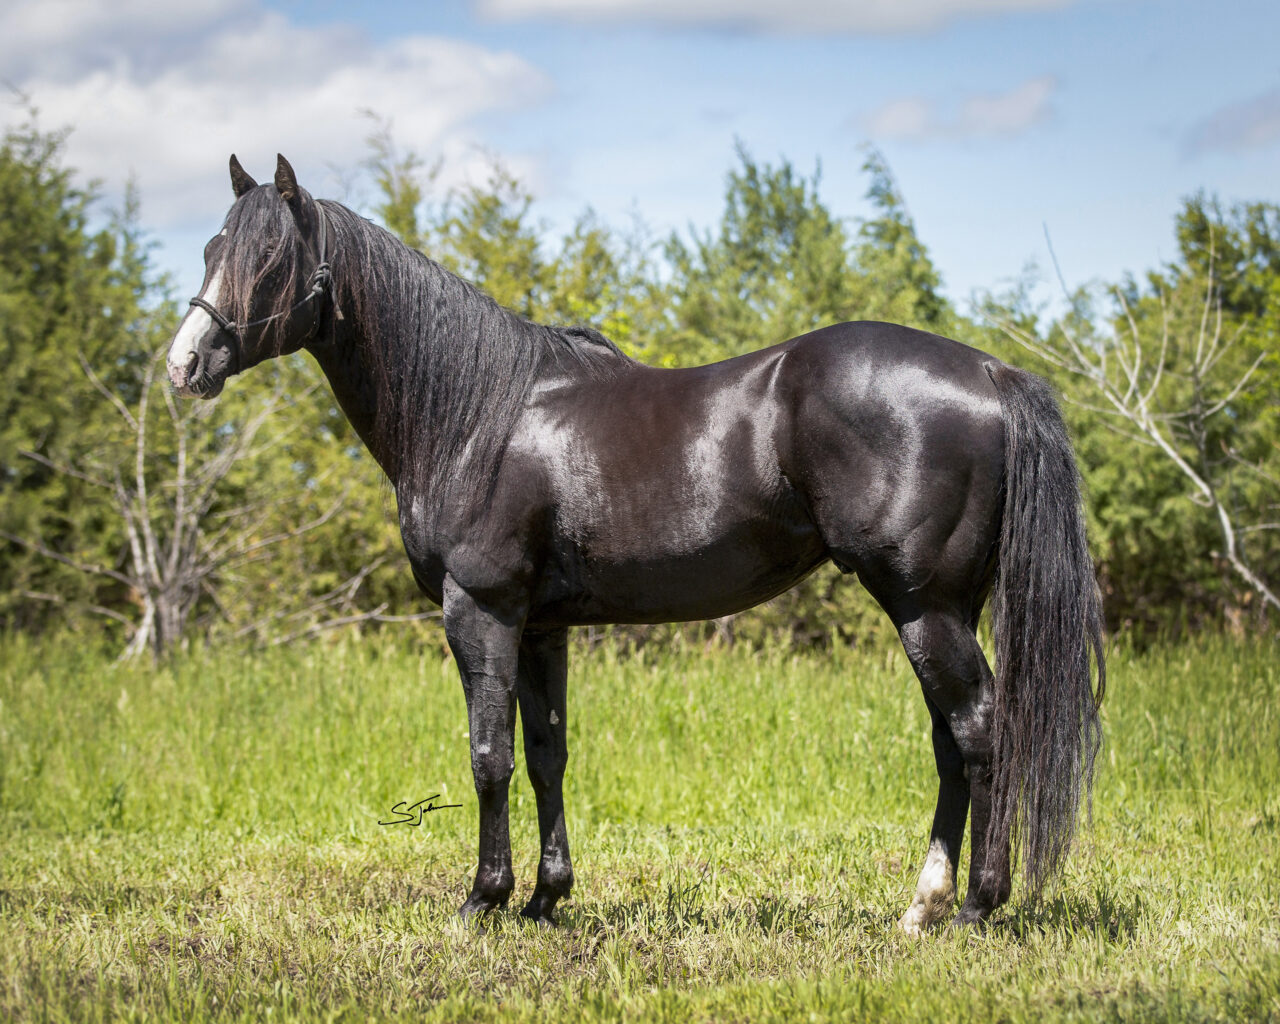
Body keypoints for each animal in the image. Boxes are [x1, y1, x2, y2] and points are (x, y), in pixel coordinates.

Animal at [166, 154, 1105, 934]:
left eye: (269, 259)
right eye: (211, 245)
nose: (184, 365)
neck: (476, 413)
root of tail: (989, 372)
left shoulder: (480, 610)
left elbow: (488, 756)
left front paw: (482, 900)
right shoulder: (542, 625)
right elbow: (546, 756)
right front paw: (547, 898)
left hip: (923, 604)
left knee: (978, 733)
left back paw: (976, 906)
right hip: (944, 608)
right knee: (952, 743)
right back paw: (923, 905)